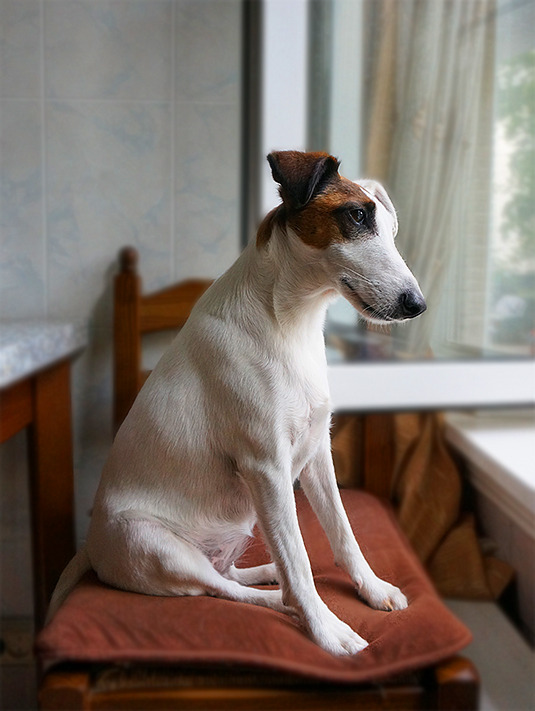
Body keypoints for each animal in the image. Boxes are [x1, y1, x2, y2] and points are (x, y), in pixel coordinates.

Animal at [49, 150, 428, 656]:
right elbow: (299, 561)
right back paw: (285, 601)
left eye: (391, 229)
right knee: (222, 590)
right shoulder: (266, 468)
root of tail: (90, 548)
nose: (417, 304)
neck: (290, 322)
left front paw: (373, 588)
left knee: (231, 575)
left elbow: (343, 533)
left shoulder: (316, 456)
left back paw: (267, 573)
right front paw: (327, 631)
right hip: (156, 544)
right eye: (356, 216)